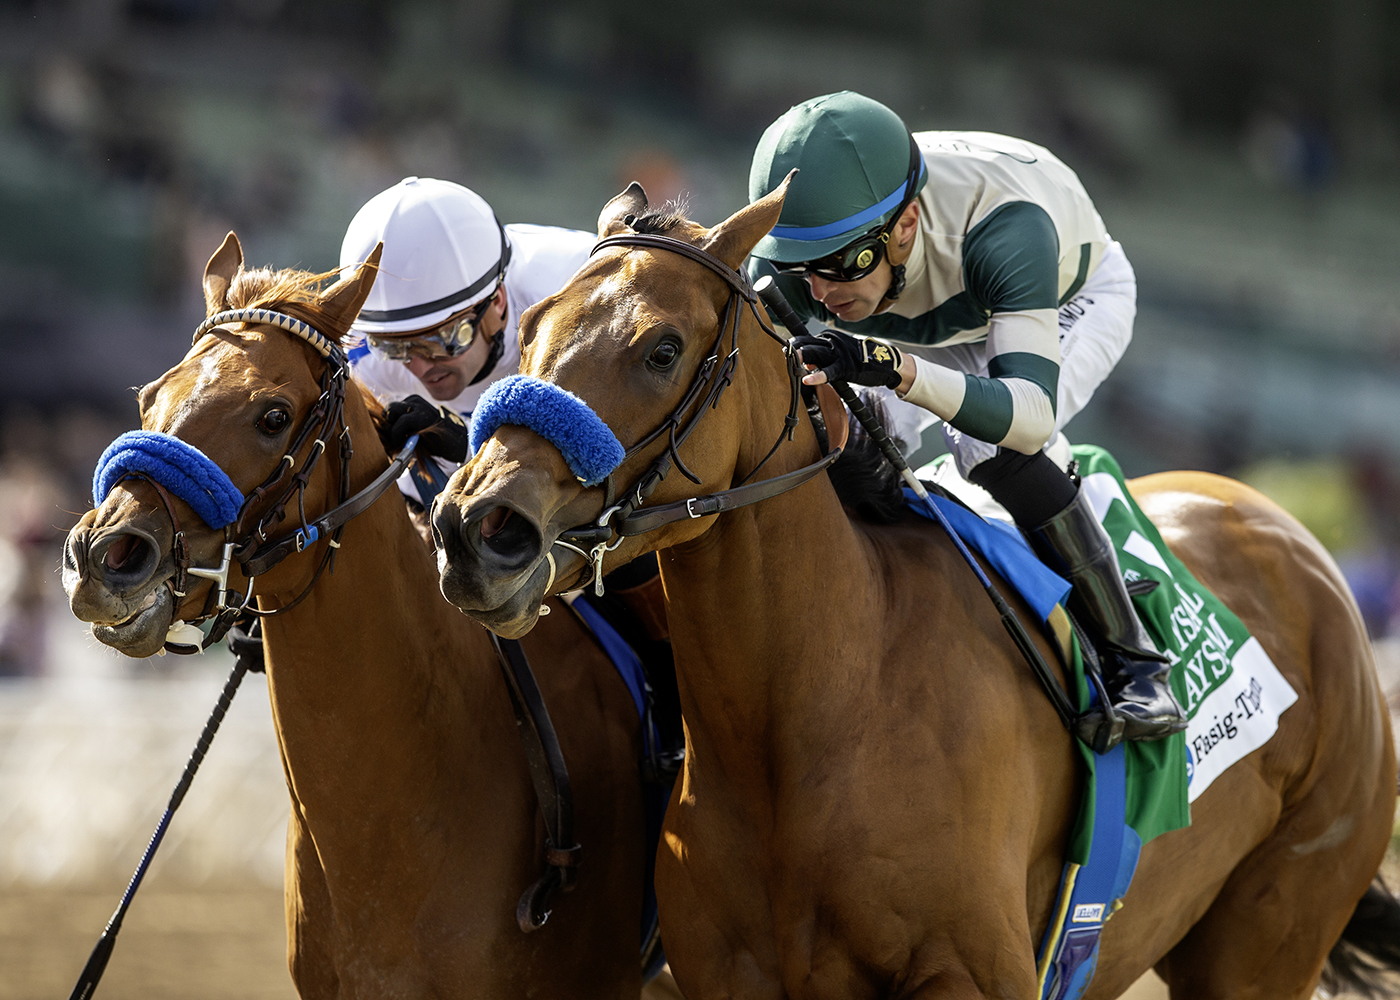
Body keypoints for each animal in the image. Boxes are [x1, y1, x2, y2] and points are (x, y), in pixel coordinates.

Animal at [430, 179, 1400, 1000]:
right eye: (529, 329)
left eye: (661, 349)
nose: (477, 528)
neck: (823, 711)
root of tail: (1288, 535)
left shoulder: (971, 974)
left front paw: (854, 356)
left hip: (1270, 932)